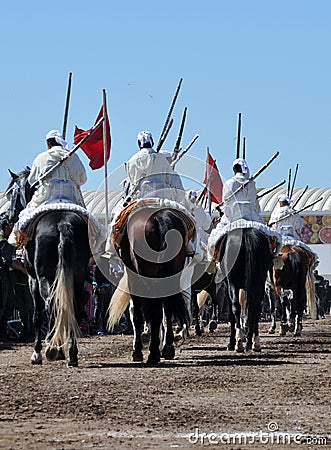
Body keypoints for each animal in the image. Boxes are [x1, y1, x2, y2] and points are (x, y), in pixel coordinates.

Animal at [6, 167, 92, 368]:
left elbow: (37, 314)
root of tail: (63, 223)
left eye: (12, 192)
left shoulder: (33, 280)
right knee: (73, 305)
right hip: (77, 277)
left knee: (51, 304)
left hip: (45, 277)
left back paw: (53, 349)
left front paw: (39, 351)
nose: (11, 215)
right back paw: (72, 354)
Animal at [107, 205, 193, 366]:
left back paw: (153, 354)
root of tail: (161, 220)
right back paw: (167, 347)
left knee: (155, 312)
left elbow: (137, 314)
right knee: (166, 310)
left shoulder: (134, 277)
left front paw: (137, 351)